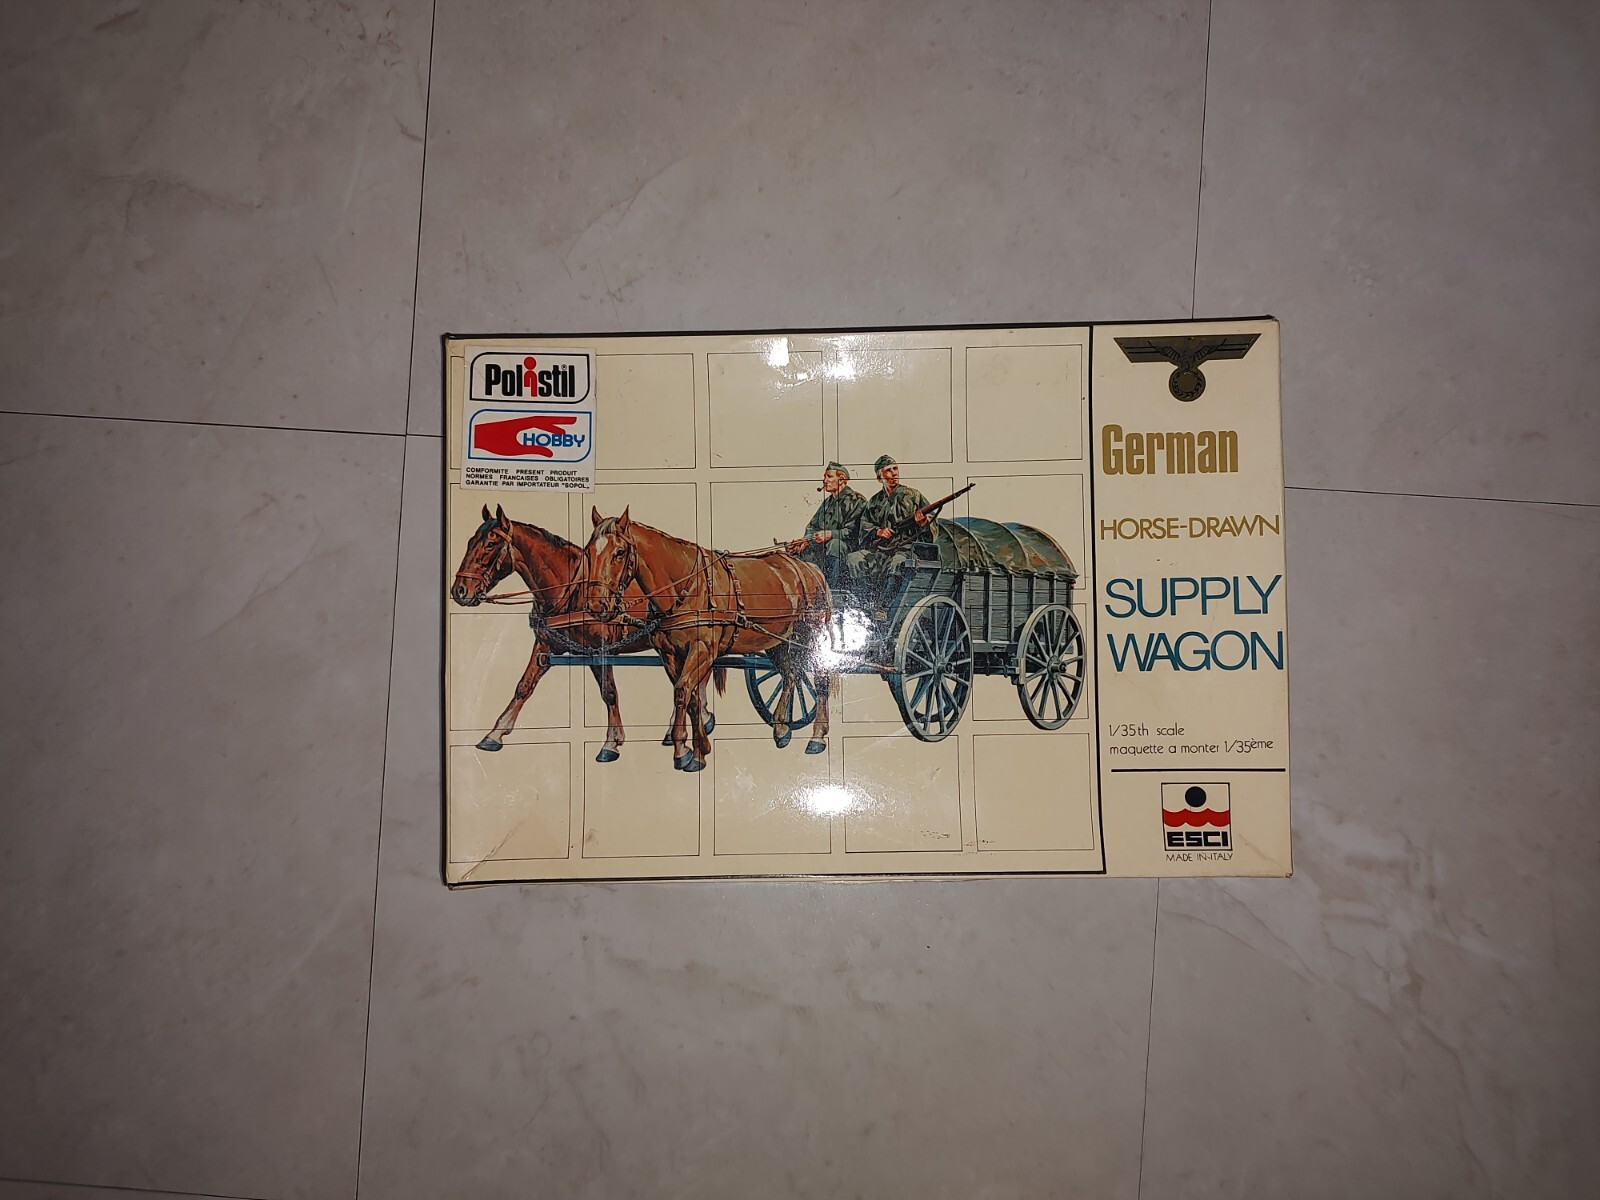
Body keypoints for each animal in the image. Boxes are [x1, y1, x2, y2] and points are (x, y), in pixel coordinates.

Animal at [450, 505, 719, 760]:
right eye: (470, 542)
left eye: (490, 544)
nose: (459, 590)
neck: (571, 591)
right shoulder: (546, 646)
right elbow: (524, 686)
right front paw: (495, 733)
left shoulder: (599, 651)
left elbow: (609, 693)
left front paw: (612, 742)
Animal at [569, 506, 832, 773]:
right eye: (588, 552)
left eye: (620, 552)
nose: (596, 605)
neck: (687, 588)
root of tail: (810, 569)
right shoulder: (670, 654)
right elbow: (691, 698)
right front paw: (696, 750)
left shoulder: (702, 651)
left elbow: (682, 691)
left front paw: (684, 752)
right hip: (777, 641)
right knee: (791, 674)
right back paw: (780, 728)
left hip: (810, 635)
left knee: (819, 679)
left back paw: (817, 737)